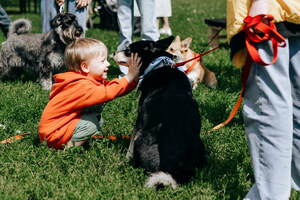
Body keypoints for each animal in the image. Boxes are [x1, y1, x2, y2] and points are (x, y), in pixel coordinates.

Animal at [113, 36, 206, 189]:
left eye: (128, 50)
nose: (114, 52)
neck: (158, 64)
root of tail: (174, 171)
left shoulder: (140, 118)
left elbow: (130, 145)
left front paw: (126, 158)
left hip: (142, 137)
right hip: (200, 143)